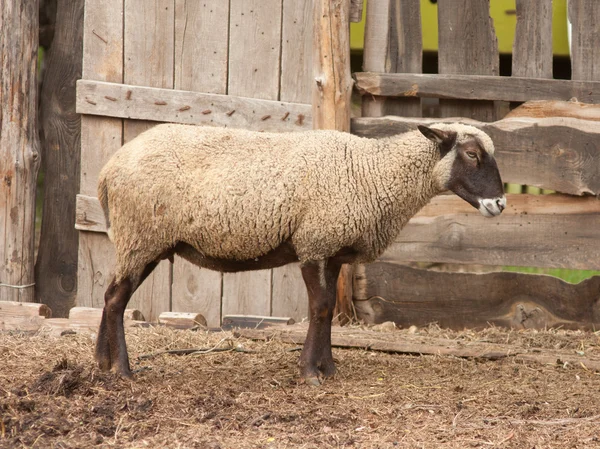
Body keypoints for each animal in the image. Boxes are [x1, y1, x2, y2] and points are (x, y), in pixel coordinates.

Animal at [95, 121, 506, 382]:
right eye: (471, 154)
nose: (500, 204)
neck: (374, 172)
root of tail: (107, 170)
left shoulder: (334, 251)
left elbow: (327, 310)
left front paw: (328, 368)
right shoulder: (313, 243)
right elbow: (320, 307)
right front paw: (311, 372)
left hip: (140, 242)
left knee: (111, 294)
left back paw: (102, 362)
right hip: (140, 236)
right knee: (116, 299)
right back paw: (124, 372)